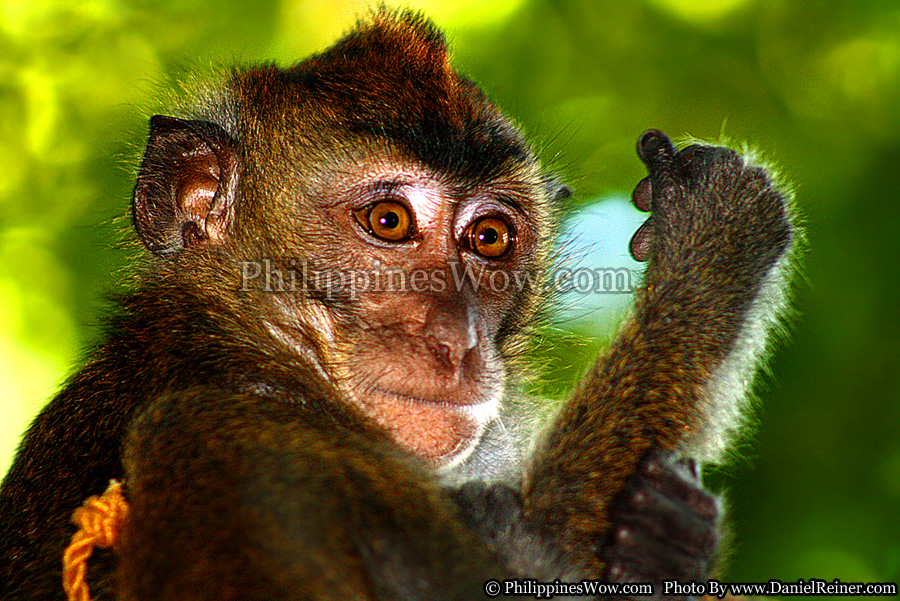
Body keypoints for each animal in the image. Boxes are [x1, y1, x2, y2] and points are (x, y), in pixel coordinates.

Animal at [1, 9, 796, 600]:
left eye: (489, 238)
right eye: (388, 221)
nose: (458, 341)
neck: (249, 342)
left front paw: (670, 534)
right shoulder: (246, 439)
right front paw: (718, 242)